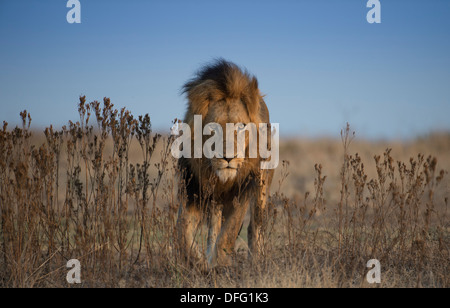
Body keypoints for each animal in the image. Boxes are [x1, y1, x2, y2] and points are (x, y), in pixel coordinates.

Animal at [176, 58, 274, 268]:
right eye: (213, 127)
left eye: (241, 126)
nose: (228, 157)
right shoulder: (192, 189)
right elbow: (181, 233)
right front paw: (197, 260)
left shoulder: (243, 188)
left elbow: (229, 231)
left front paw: (220, 262)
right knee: (213, 227)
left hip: (262, 187)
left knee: (256, 224)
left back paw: (258, 259)